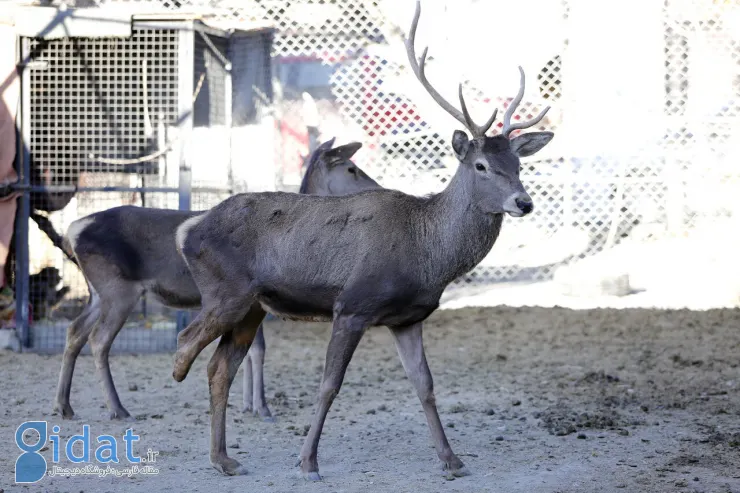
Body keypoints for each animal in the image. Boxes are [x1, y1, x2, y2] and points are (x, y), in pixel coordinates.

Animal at [52, 138, 378, 418]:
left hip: (98, 292)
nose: (377, 186)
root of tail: (71, 231)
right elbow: (258, 350)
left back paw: (65, 405)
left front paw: (248, 404)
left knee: (74, 331)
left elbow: (252, 350)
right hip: (118, 288)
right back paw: (117, 408)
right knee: (98, 339)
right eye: (351, 168)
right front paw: (261, 407)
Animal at [171, 0, 552, 478]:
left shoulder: (408, 317)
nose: (524, 202)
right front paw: (308, 461)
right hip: (226, 294)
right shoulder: (352, 305)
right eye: (482, 165)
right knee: (186, 347)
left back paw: (224, 458)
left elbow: (425, 385)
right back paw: (193, 409)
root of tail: (188, 230)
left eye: (518, 166)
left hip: (252, 308)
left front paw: (452, 460)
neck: (427, 254)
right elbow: (329, 385)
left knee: (220, 367)